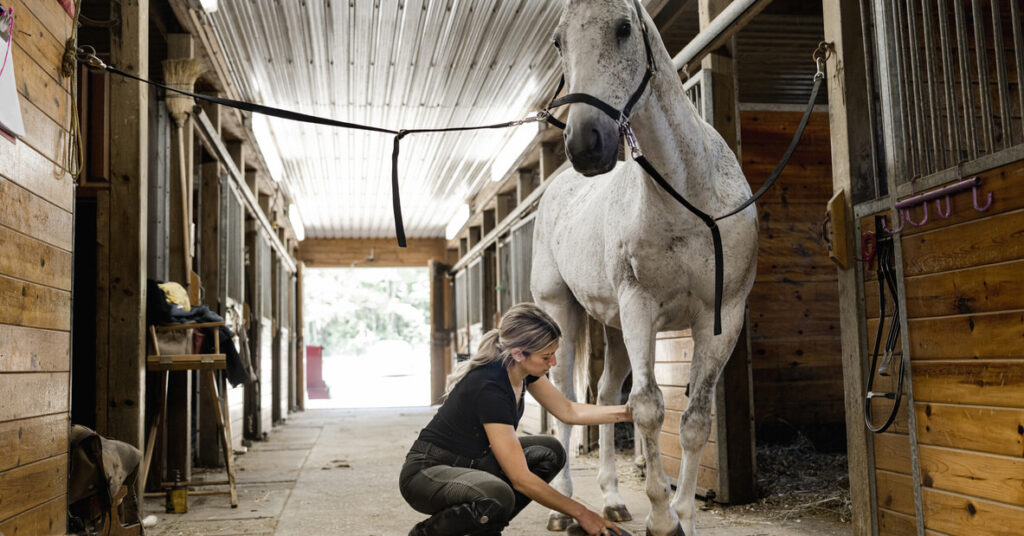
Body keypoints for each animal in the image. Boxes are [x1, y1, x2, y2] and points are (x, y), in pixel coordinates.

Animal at [528, 2, 761, 532]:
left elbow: (694, 420)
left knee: (603, 395)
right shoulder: (640, 307)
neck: (689, 196)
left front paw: (685, 516)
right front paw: (660, 517)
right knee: (566, 395)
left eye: (623, 28)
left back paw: (613, 499)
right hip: (564, 313)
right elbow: (649, 408)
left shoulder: (722, 316)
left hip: (613, 328)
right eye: (558, 42)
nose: (586, 143)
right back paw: (562, 506)